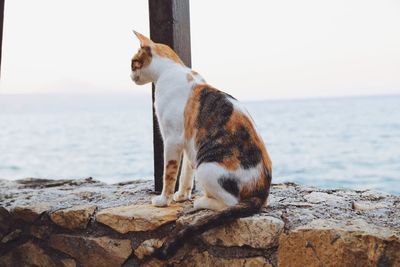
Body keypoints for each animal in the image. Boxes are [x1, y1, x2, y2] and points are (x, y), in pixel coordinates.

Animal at [130, 31, 272, 262]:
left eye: (133, 62)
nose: (130, 76)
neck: (170, 70)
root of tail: (261, 192)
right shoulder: (189, 144)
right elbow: (185, 175)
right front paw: (181, 195)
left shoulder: (172, 139)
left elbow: (169, 174)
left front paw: (164, 199)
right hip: (201, 158)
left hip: (207, 167)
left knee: (230, 203)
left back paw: (203, 201)